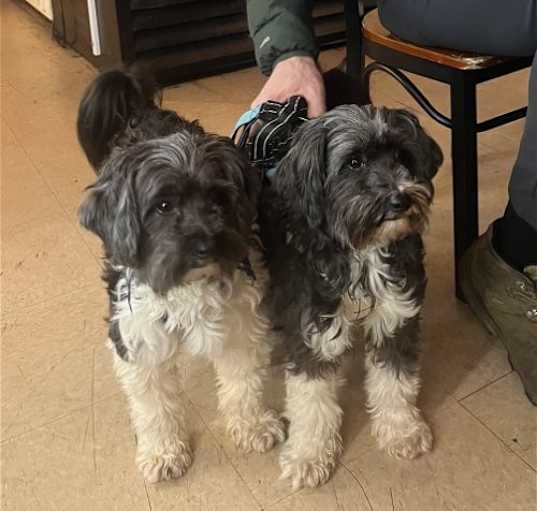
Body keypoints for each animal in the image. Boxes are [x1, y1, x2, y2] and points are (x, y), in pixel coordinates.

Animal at [77, 71, 284, 484]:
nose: (206, 245)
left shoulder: (242, 321)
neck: (188, 287)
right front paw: (163, 451)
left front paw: (251, 425)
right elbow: (154, 406)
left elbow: (243, 382)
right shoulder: (137, 337)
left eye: (219, 200)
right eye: (163, 205)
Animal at [258, 103, 442, 488]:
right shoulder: (312, 329)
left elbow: (395, 381)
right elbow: (311, 400)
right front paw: (309, 455)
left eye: (402, 157)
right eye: (354, 162)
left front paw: (401, 429)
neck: (361, 251)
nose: (399, 199)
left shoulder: (395, 316)